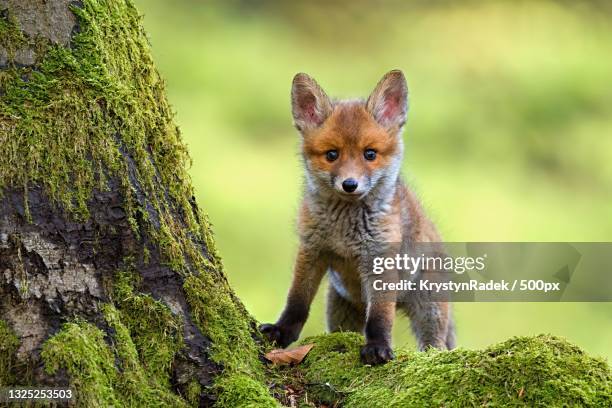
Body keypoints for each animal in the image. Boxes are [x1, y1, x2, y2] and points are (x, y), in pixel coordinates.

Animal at [260, 68, 454, 364]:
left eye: (370, 154)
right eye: (332, 154)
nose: (349, 184)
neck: (344, 230)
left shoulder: (380, 258)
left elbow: (380, 318)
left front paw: (378, 347)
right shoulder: (311, 249)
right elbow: (297, 301)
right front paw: (282, 331)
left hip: (429, 309)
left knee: (435, 344)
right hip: (339, 310)